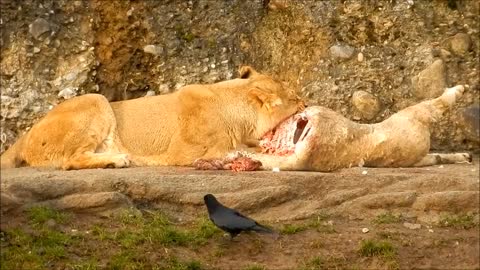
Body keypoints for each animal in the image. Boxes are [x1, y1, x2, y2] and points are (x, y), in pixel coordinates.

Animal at [0, 66, 304, 170]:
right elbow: (233, 149)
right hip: (95, 100)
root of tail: (26, 134)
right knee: (70, 160)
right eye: (296, 98)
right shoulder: (185, 152)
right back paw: (117, 160)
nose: (306, 103)